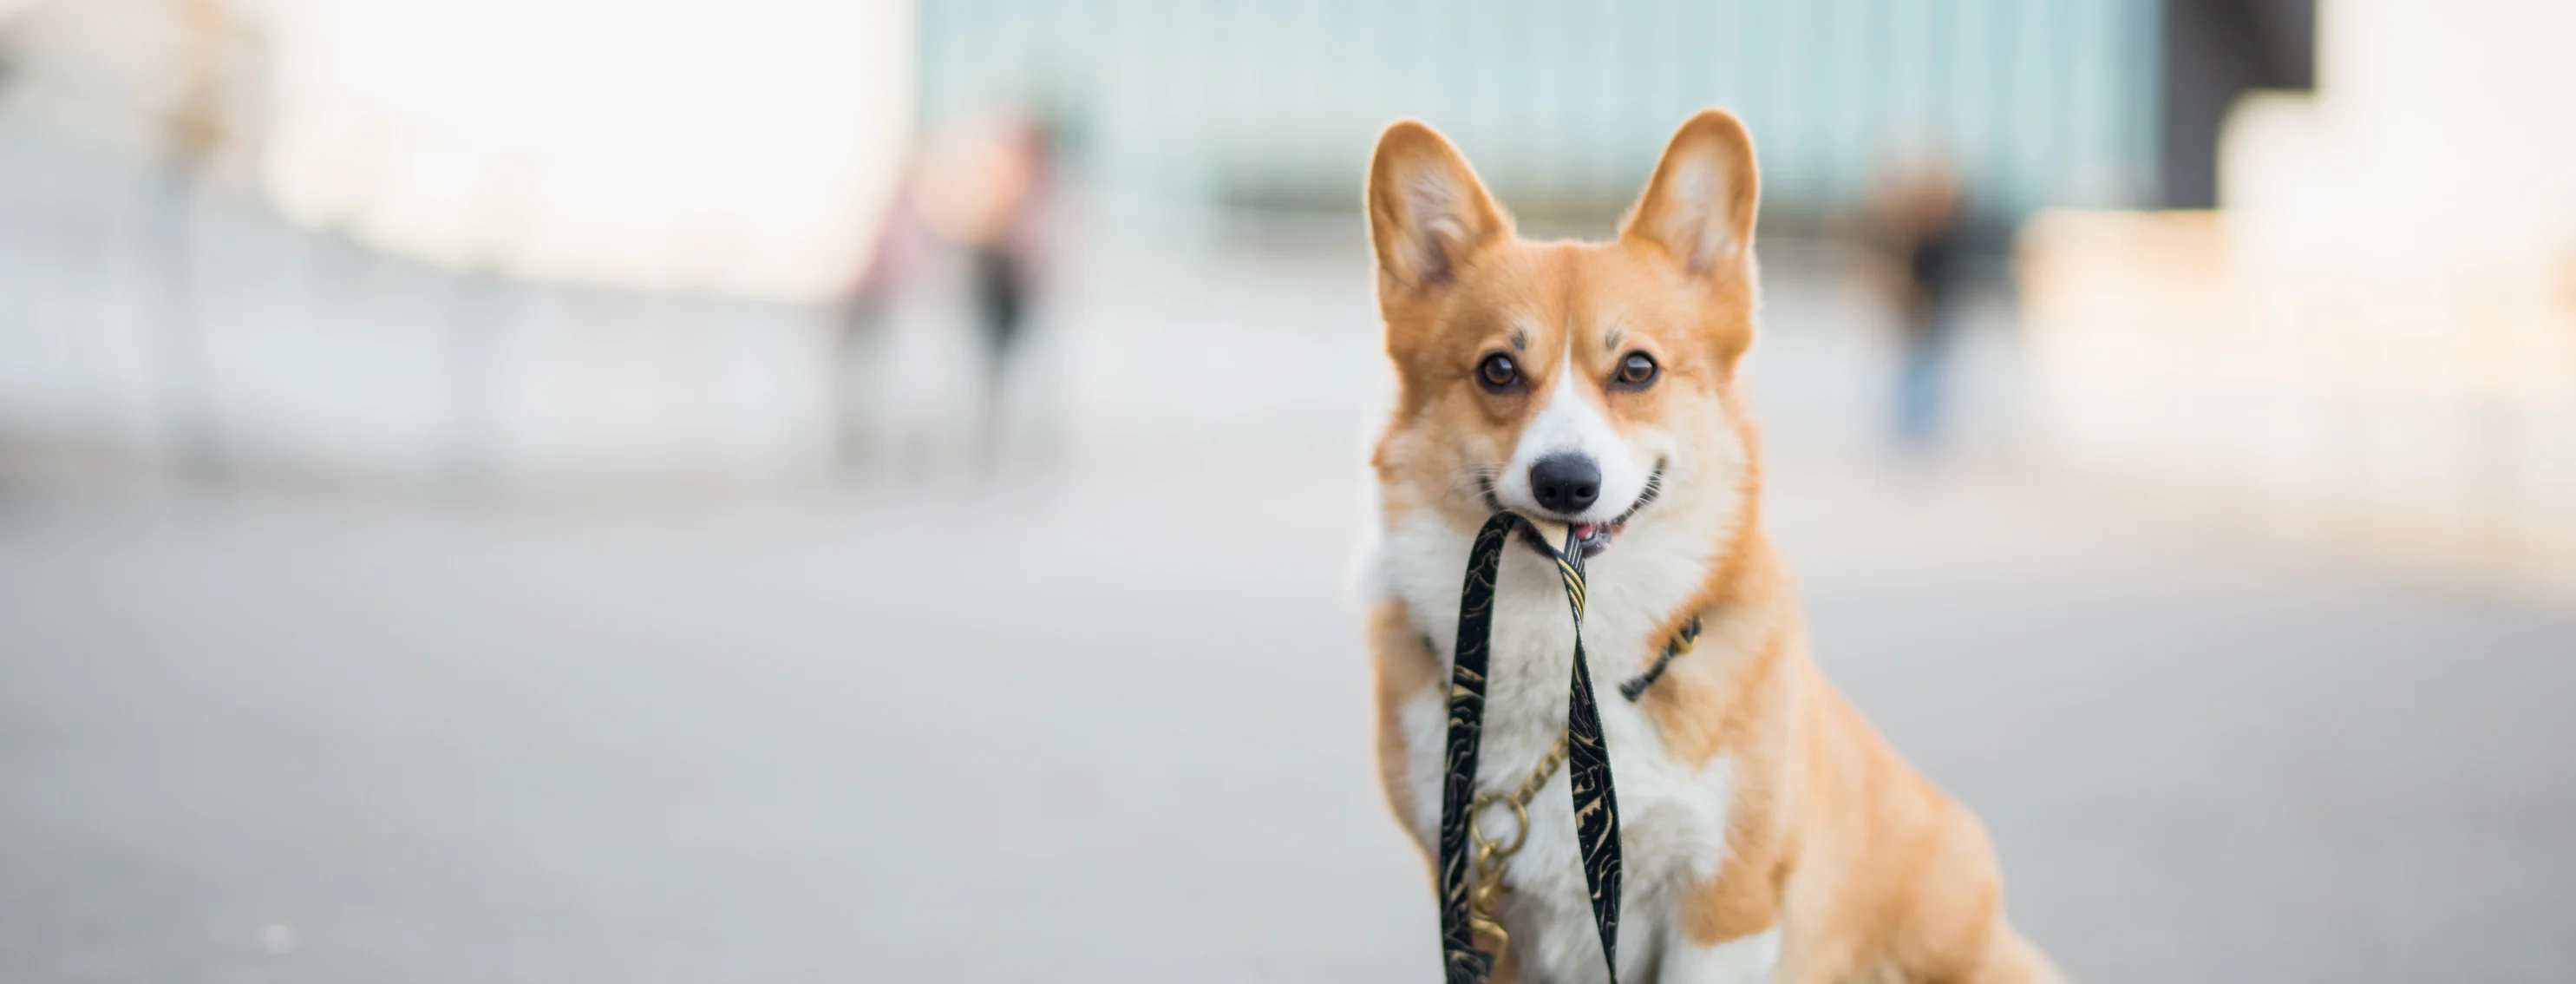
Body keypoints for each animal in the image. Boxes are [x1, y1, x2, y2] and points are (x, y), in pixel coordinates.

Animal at [1360, 111, 2061, 979]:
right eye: (1497, 370)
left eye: (1636, 369)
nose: (1566, 482)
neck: (1573, 670)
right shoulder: (1478, 911)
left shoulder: (1726, 907)